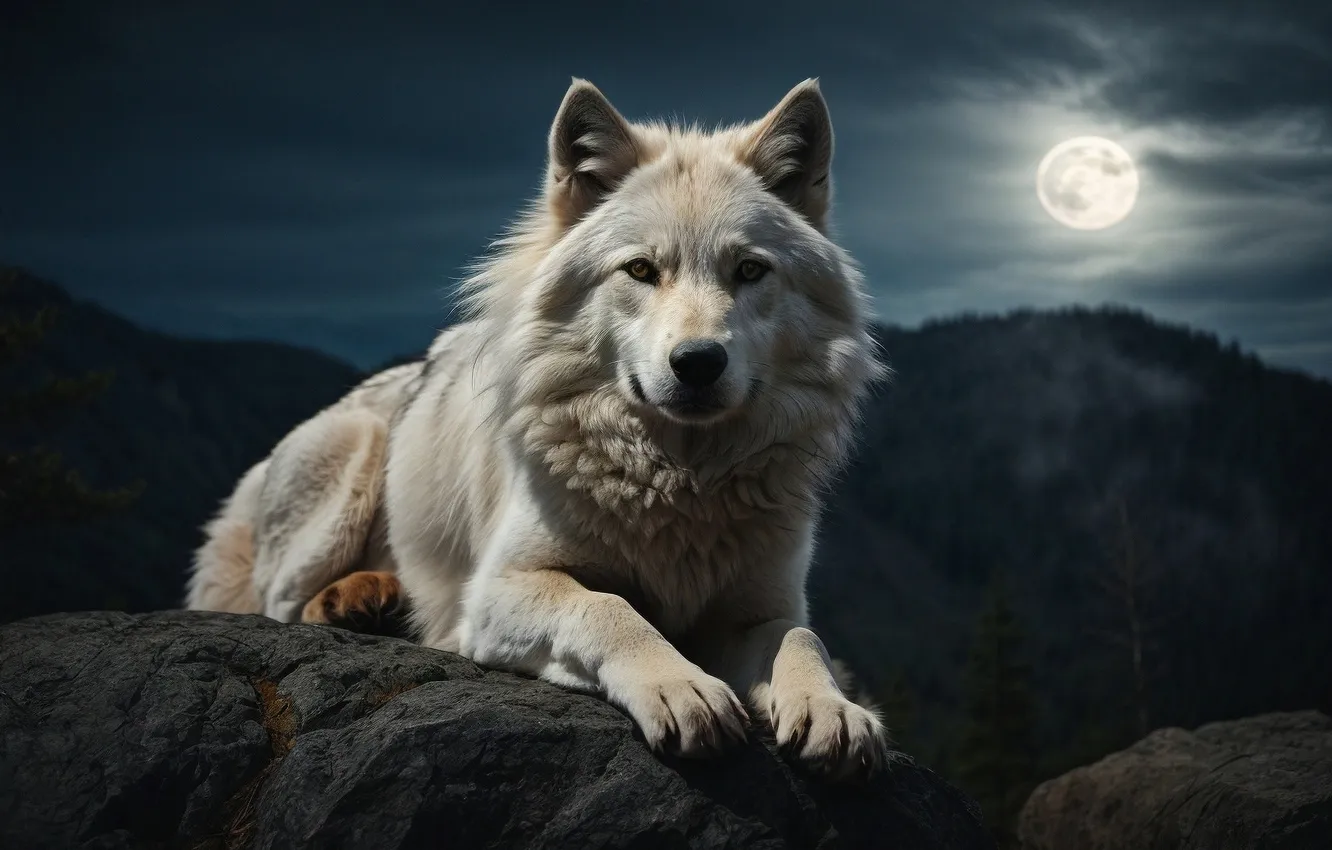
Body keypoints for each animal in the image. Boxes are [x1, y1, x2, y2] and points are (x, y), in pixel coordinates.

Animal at [186, 78, 890, 780]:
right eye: (640, 270)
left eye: (749, 270)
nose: (697, 362)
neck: (678, 482)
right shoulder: (498, 591)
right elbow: (609, 608)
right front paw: (679, 687)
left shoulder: (761, 610)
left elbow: (803, 637)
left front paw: (833, 710)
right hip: (353, 453)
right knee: (281, 603)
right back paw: (355, 598)